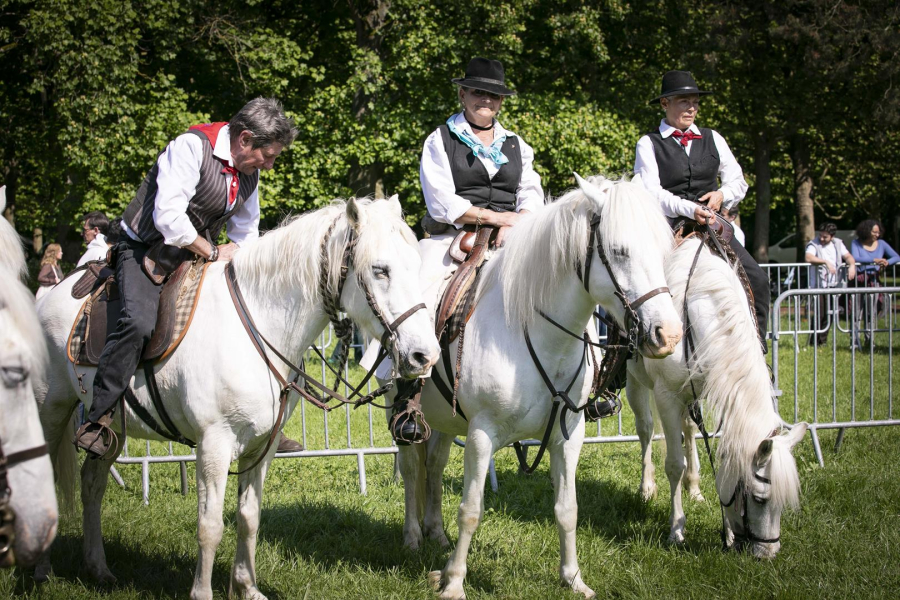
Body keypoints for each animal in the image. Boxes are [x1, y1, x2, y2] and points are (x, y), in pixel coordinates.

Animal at [35, 198, 440, 600]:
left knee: (92, 483)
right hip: (50, 410)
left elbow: (249, 518)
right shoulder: (214, 445)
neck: (258, 326)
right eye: (379, 270)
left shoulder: (262, 445)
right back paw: (42, 571)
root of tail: (50, 295)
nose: (425, 355)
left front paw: (247, 587)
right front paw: (202, 592)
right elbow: (210, 525)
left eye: (416, 265)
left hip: (112, 429)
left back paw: (98, 567)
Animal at [400, 175, 684, 600]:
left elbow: (567, 509)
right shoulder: (481, 434)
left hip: (446, 422)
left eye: (662, 250)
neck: (535, 331)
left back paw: (435, 533)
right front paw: (453, 584)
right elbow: (471, 511)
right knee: (409, 469)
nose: (668, 335)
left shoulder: (568, 435)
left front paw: (573, 578)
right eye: (620, 251)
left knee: (433, 466)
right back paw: (414, 536)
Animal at [624, 234, 808, 556]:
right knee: (645, 429)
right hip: (636, 381)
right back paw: (647, 488)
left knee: (688, 429)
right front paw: (676, 530)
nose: (768, 553)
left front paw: (726, 530)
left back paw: (695, 488)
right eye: (759, 498)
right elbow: (673, 463)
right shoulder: (666, 396)